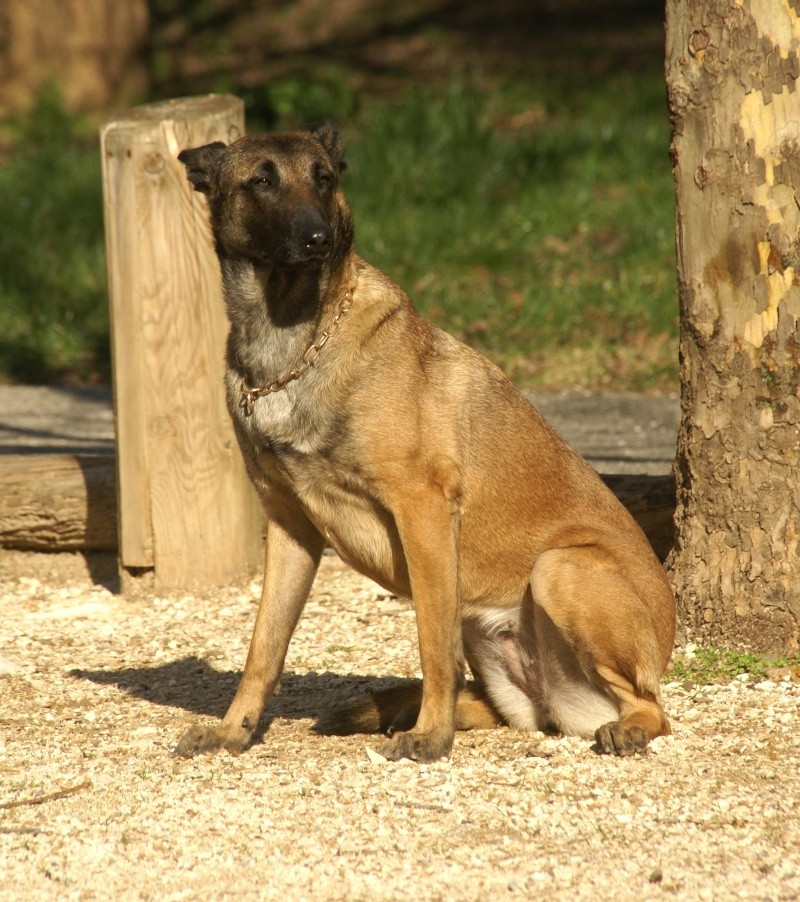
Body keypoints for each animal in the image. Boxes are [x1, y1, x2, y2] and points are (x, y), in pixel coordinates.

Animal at [175, 122, 676, 764]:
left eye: (323, 178)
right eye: (261, 180)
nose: (317, 238)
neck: (293, 342)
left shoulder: (424, 513)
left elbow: (432, 646)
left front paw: (430, 737)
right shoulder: (291, 527)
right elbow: (263, 647)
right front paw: (233, 730)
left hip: (559, 568)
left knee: (653, 708)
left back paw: (621, 726)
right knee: (504, 710)